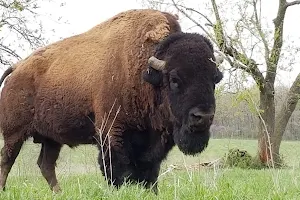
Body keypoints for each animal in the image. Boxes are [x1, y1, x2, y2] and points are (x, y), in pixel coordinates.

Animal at [0, 9, 223, 192]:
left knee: (45, 164)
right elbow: (117, 169)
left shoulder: (154, 141)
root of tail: (18, 68)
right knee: (7, 160)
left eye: (215, 79)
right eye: (175, 79)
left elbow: (150, 171)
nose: (203, 117)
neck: (145, 73)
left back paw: (58, 193)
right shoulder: (113, 132)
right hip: (14, 134)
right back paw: (4, 189)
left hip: (51, 138)